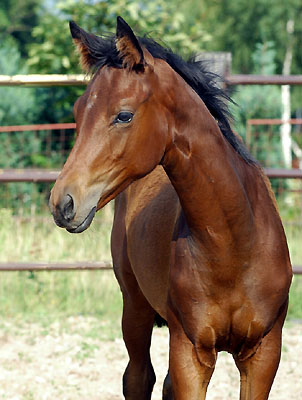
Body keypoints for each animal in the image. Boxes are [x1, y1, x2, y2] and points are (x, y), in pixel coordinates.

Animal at [49, 16, 292, 400]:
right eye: (76, 112)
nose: (63, 202)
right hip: (134, 306)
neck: (235, 242)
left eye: (124, 115)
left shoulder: (264, 353)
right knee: (138, 377)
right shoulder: (190, 352)